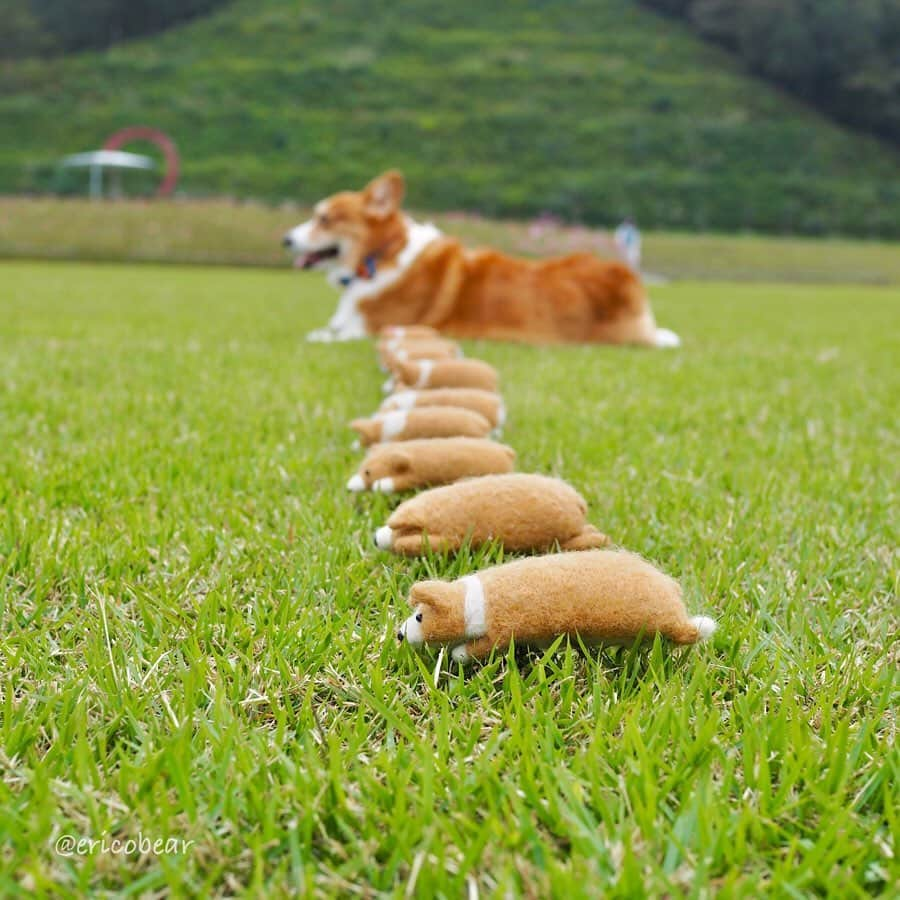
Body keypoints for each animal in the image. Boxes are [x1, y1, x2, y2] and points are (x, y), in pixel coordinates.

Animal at [284, 170, 680, 348]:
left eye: (324, 218)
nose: (285, 239)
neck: (382, 257)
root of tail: (625, 275)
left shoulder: (379, 328)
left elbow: (327, 334)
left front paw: (316, 336)